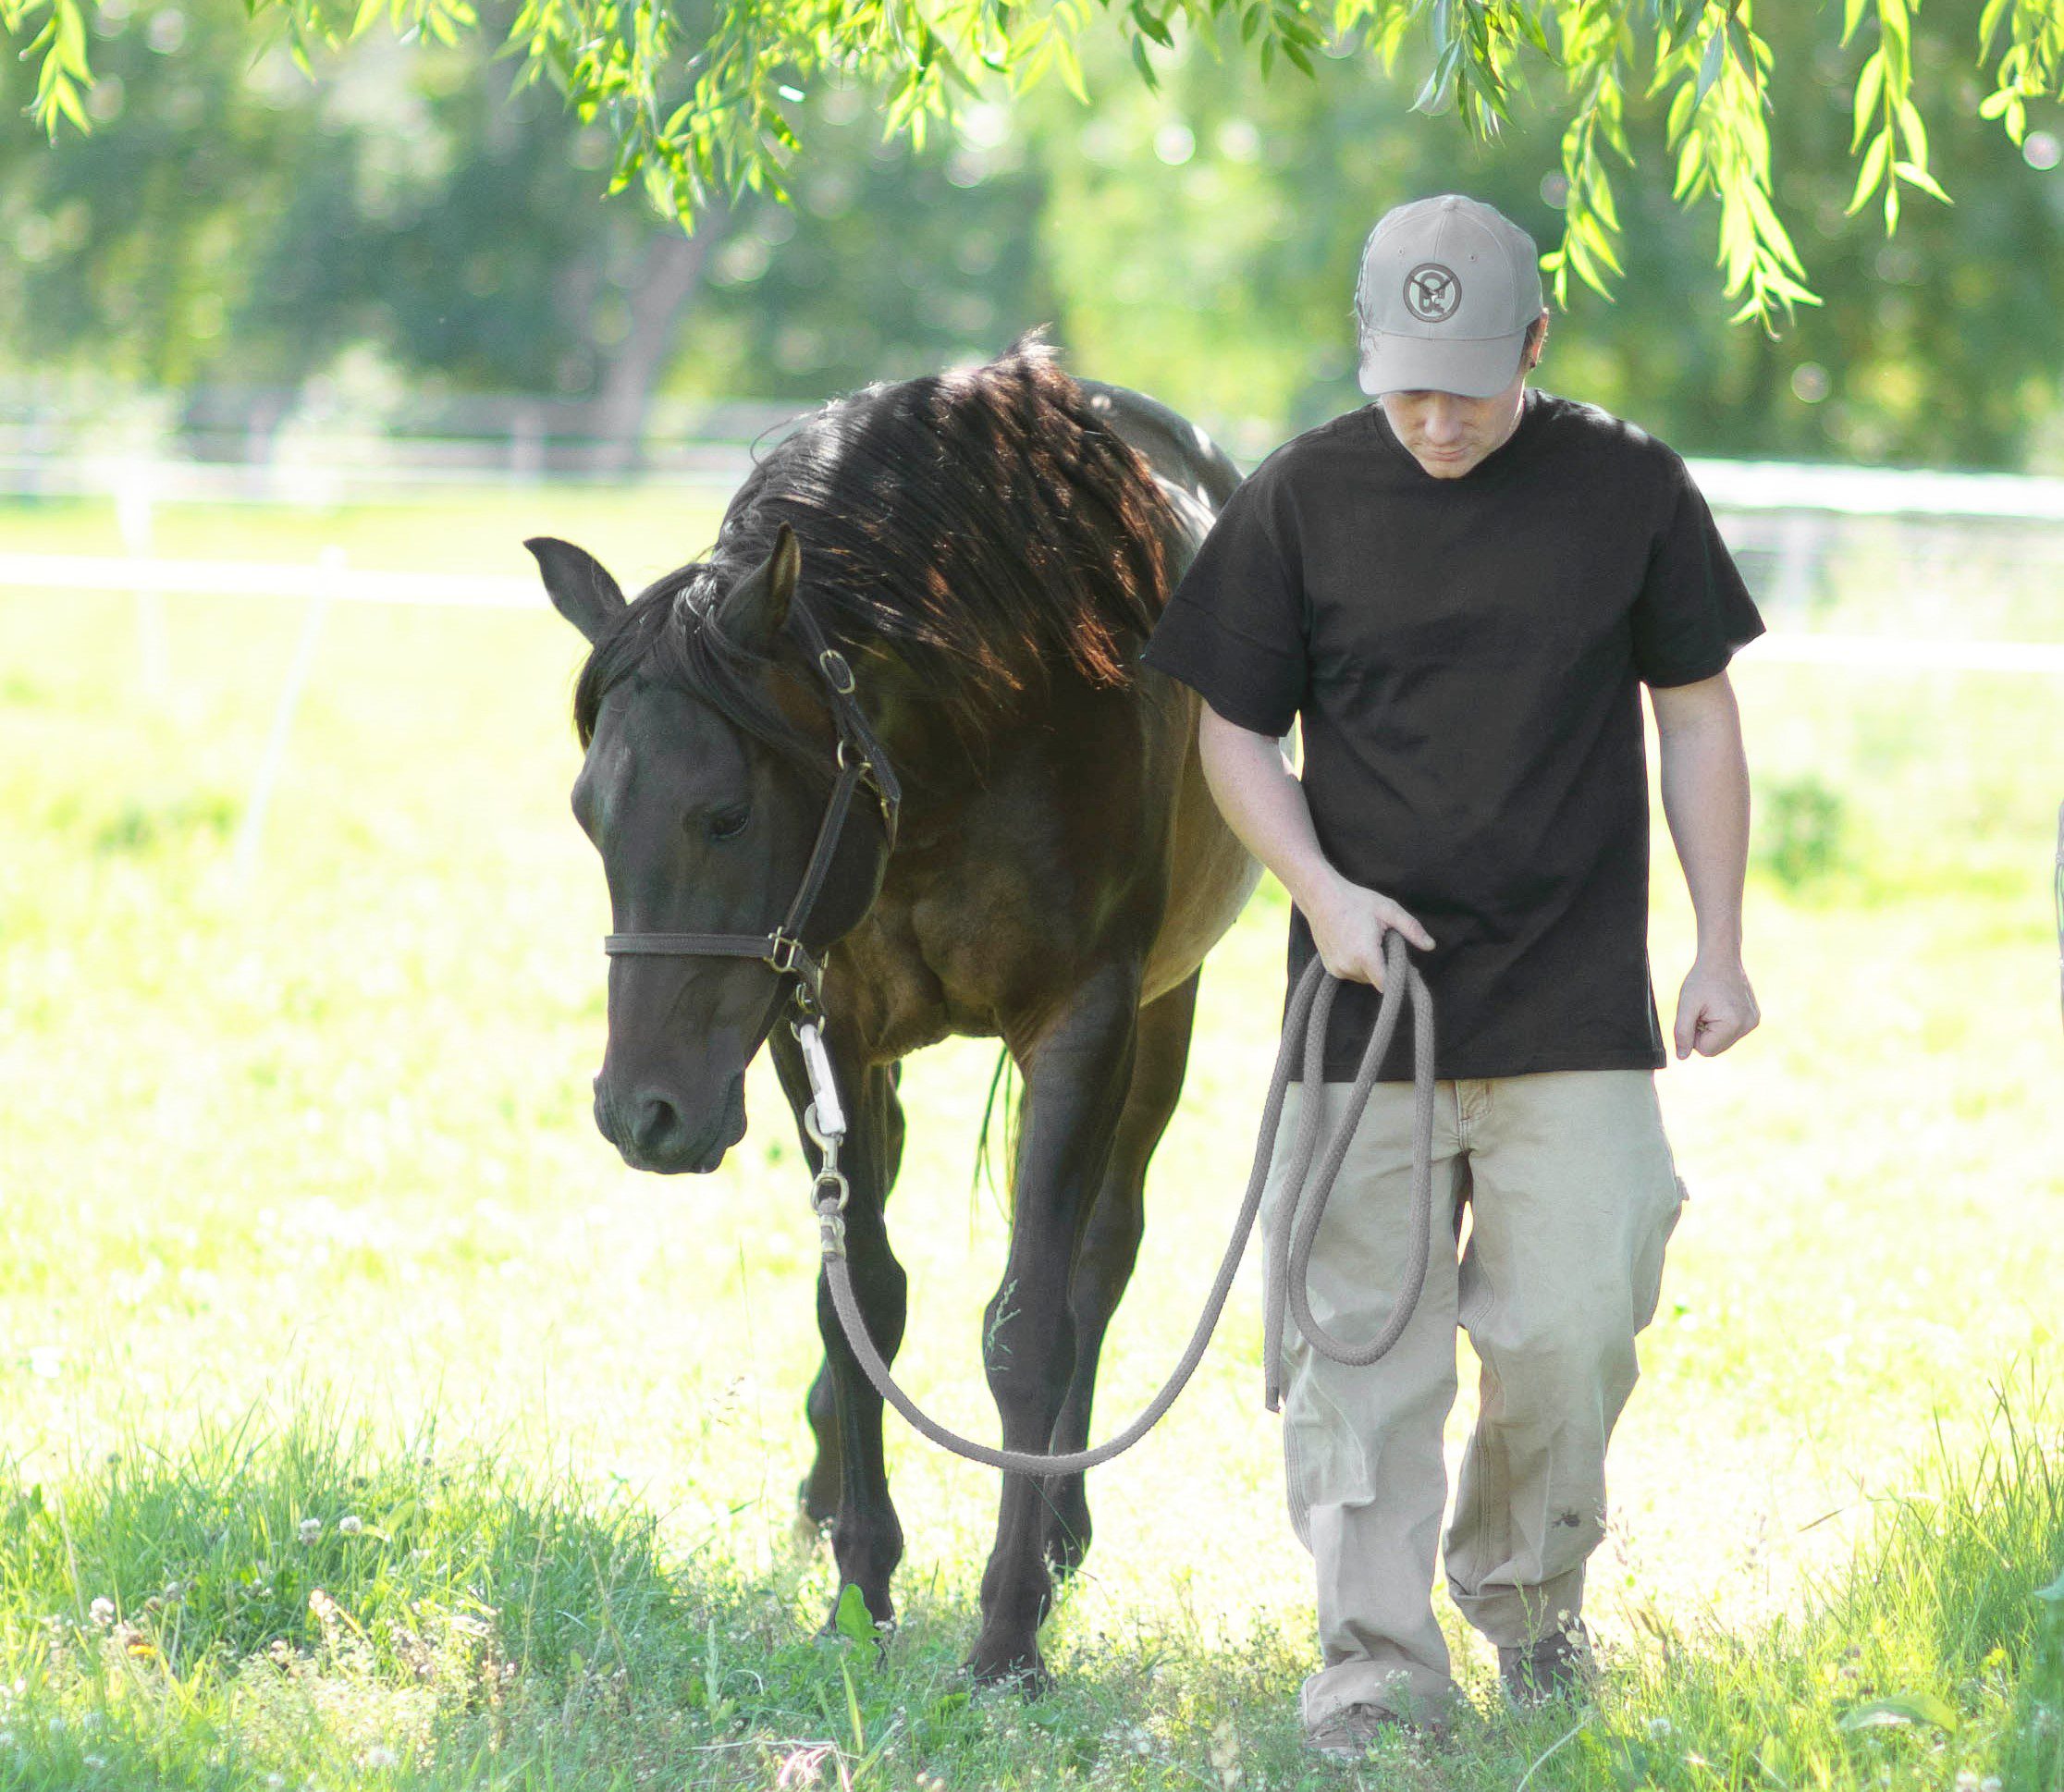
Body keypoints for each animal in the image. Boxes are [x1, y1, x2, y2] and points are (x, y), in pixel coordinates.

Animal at [523, 336, 1247, 1692]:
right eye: (591, 816)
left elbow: (1031, 1321)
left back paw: (1060, 1524)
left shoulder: (1085, 1022)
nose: (642, 1113)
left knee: (1101, 1259)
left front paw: (1010, 1628)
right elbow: (855, 1291)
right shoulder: (827, 1028)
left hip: (1163, 1021)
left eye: (724, 814)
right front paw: (861, 1590)